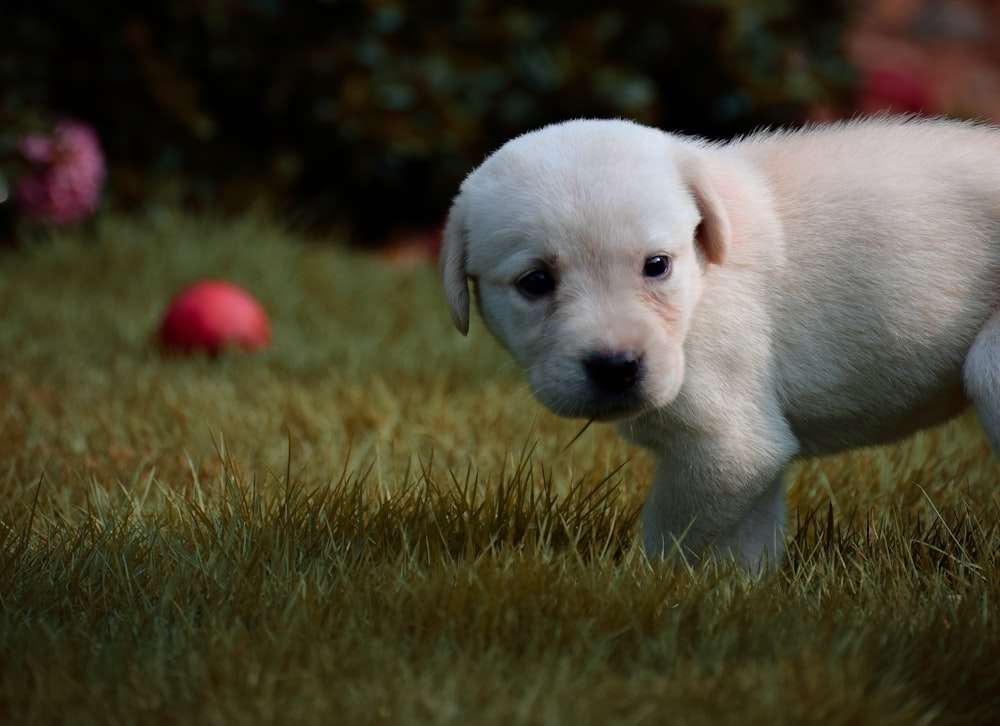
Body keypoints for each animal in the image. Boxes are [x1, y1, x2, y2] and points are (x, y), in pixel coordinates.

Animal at [438, 116, 1000, 572]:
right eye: (535, 282)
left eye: (657, 265)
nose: (616, 367)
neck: (701, 281)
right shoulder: (751, 452)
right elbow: (746, 536)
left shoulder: (723, 446)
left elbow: (670, 536)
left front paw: (636, 587)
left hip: (990, 366)